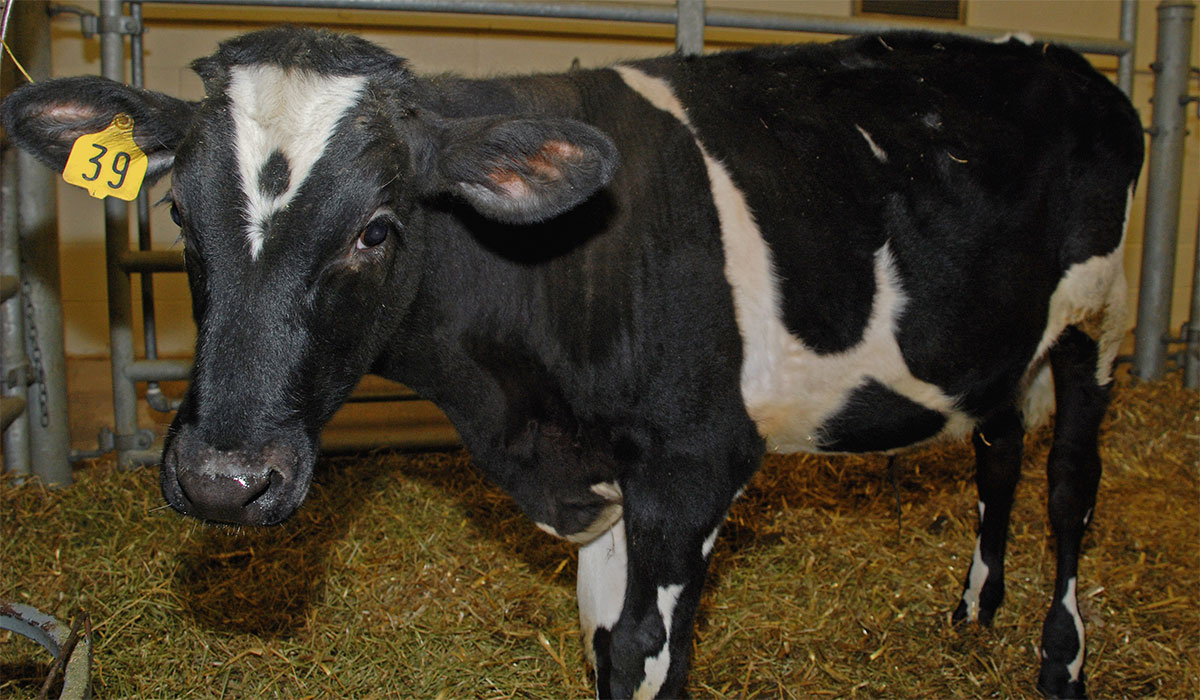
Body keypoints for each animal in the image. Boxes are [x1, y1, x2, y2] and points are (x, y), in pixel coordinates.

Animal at [2, 26, 1143, 699]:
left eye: (377, 228)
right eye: (176, 216)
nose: (222, 481)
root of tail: (1055, 53)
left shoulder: (691, 468)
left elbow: (646, 654)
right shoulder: (603, 479)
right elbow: (603, 646)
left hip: (1100, 324)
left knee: (1071, 484)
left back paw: (1060, 658)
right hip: (999, 342)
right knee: (999, 446)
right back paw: (976, 610)